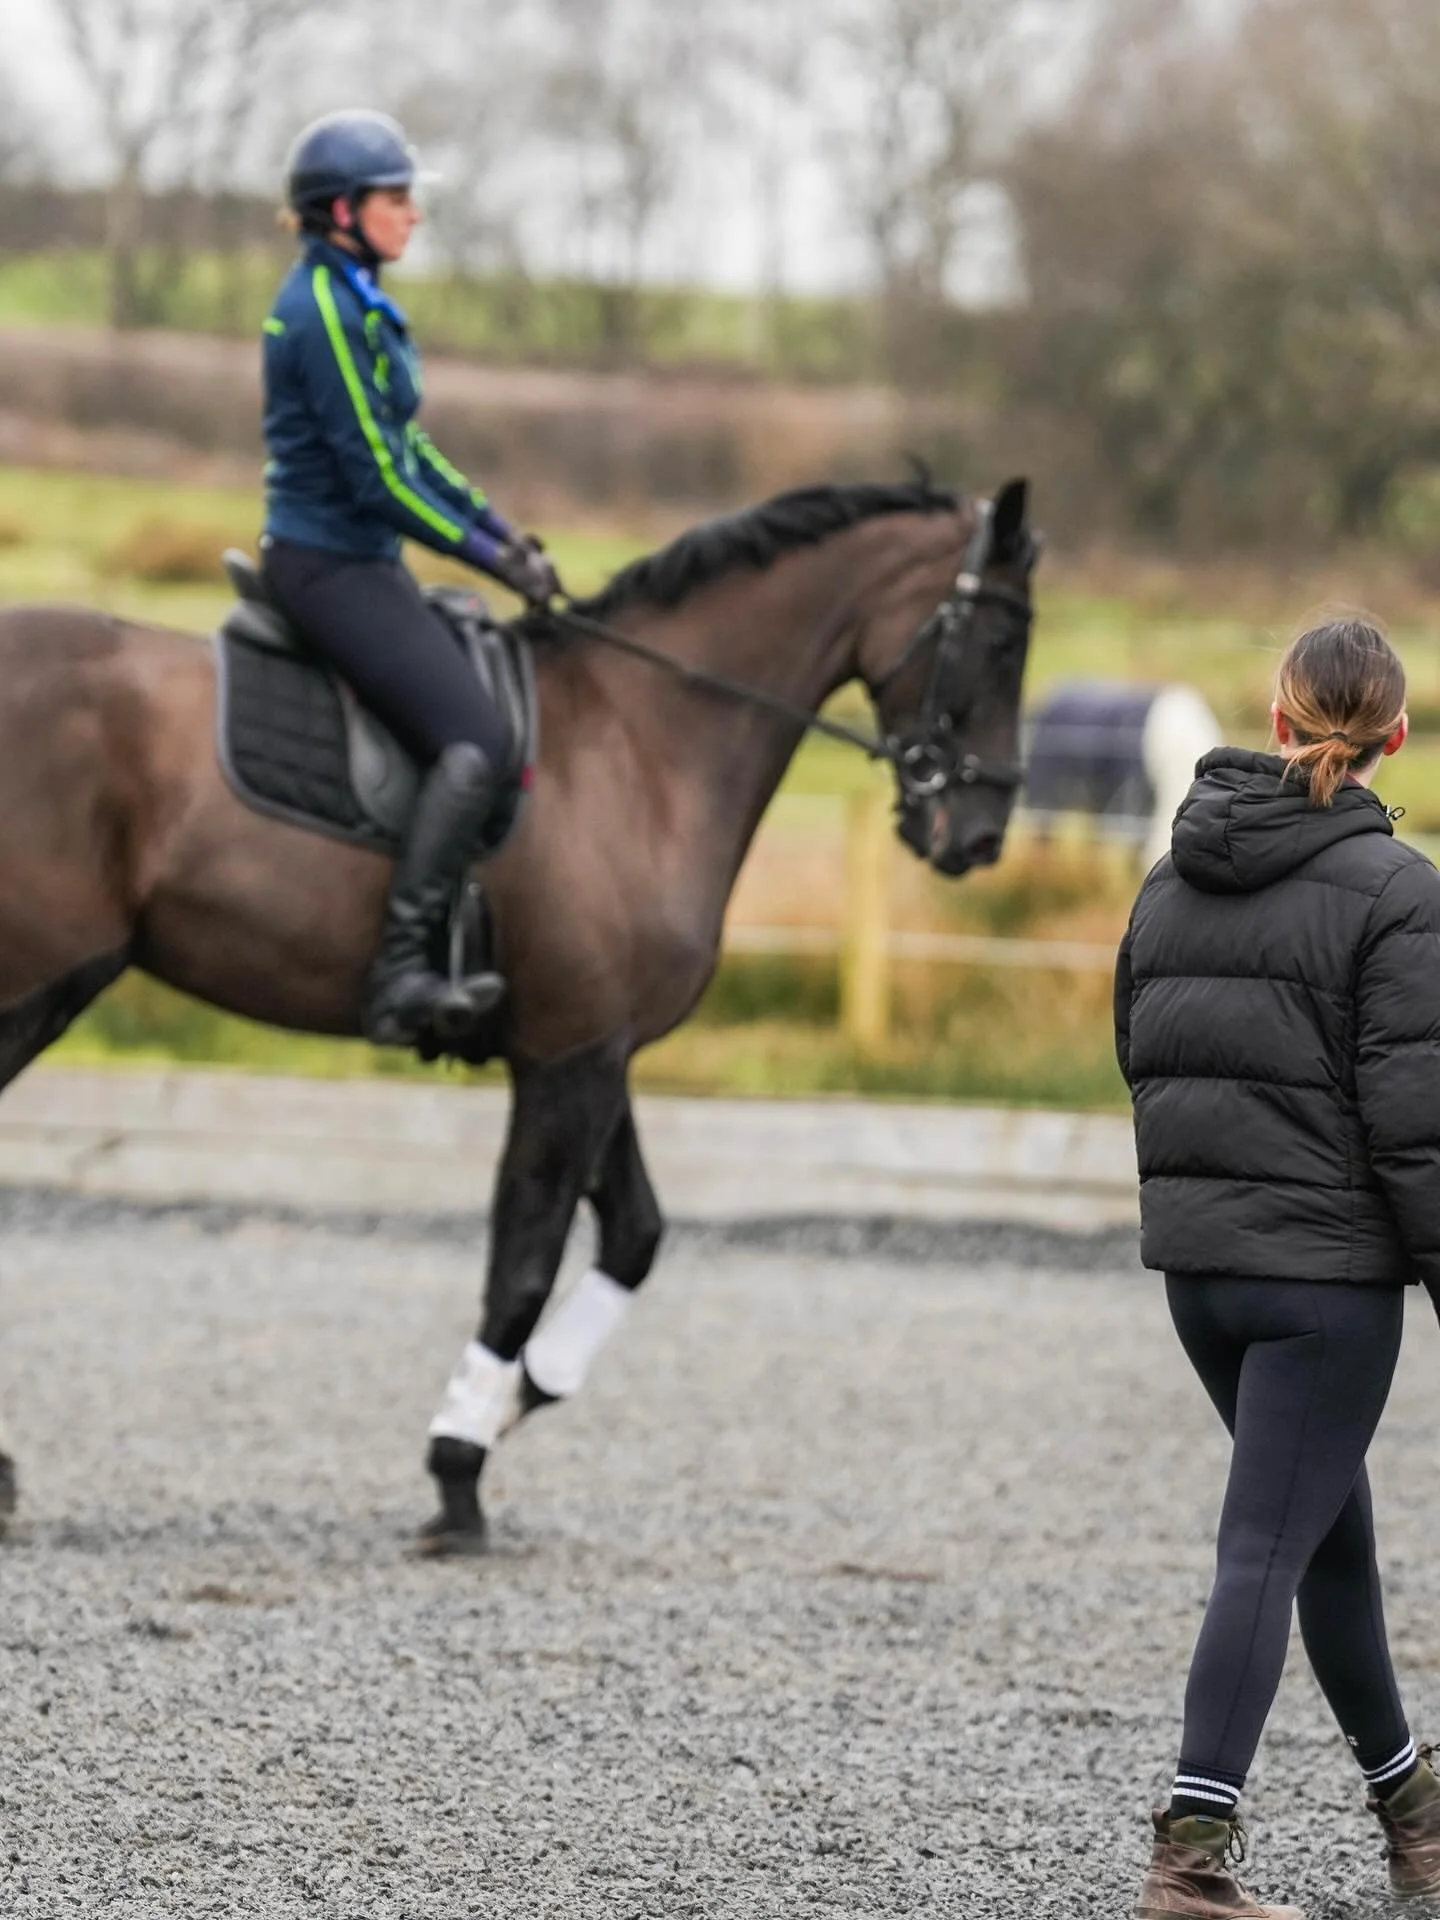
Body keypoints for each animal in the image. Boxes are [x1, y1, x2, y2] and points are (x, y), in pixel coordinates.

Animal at [0, 473, 1038, 1553]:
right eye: (1006, 639)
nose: (980, 835)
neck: (644, 743)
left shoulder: (594, 1048)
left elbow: (635, 1235)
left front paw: (521, 1394)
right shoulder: (571, 1057)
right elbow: (525, 1263)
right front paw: (458, 1472)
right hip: (38, 983)